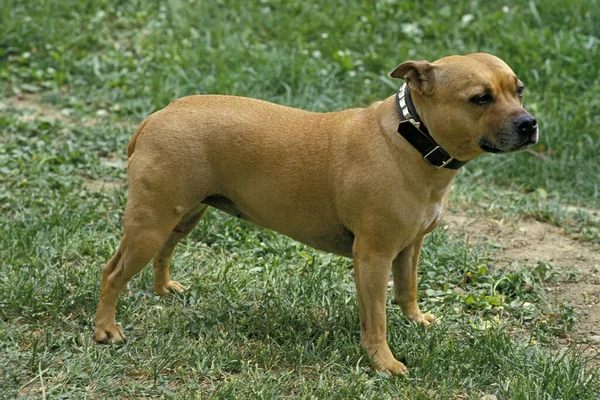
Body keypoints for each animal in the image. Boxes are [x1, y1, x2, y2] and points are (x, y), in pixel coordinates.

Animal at [95, 53, 540, 376]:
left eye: (518, 90)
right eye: (480, 98)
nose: (529, 123)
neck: (412, 137)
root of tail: (157, 116)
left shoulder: (410, 246)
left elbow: (407, 289)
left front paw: (415, 320)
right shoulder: (373, 258)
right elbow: (377, 318)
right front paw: (383, 362)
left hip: (182, 217)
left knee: (164, 252)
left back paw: (163, 289)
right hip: (150, 225)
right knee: (113, 272)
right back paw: (105, 329)